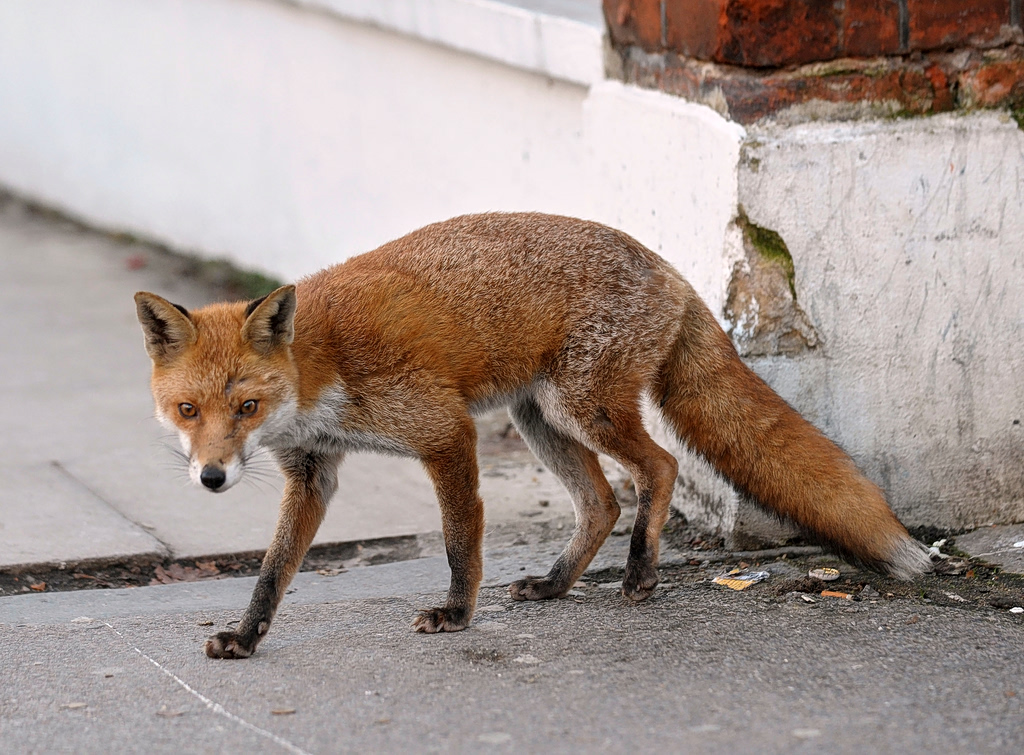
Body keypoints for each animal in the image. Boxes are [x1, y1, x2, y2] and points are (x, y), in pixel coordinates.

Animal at [135, 212, 931, 659]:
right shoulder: (312, 472)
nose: (211, 477)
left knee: (658, 468)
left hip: (581, 405)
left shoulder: (445, 432)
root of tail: (668, 267)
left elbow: (460, 542)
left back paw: (639, 573)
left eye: (245, 405)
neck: (320, 372)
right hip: (539, 417)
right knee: (603, 502)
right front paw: (246, 636)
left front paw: (457, 614)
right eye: (188, 410)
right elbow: (272, 573)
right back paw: (555, 583)